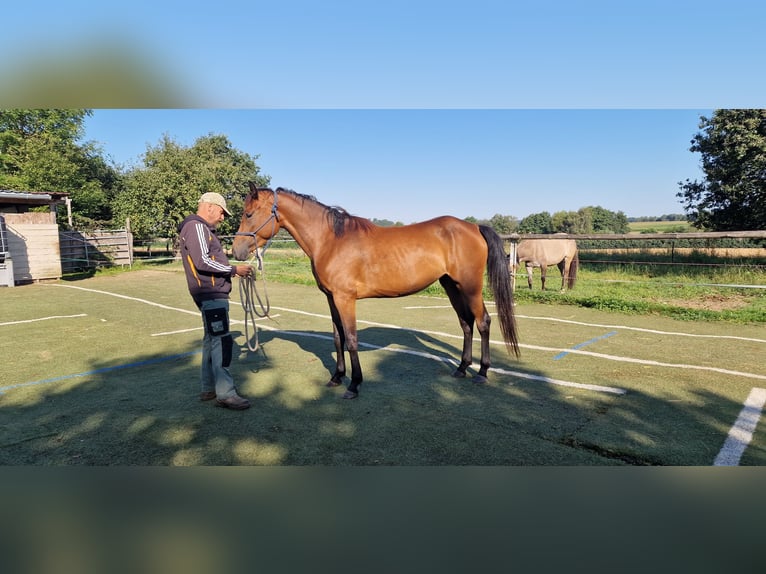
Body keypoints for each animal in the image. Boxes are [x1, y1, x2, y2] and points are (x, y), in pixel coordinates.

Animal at [232, 184, 520, 400]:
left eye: (249, 214)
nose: (236, 251)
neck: (330, 240)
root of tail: (474, 227)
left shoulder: (345, 299)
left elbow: (351, 339)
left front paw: (354, 384)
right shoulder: (331, 299)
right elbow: (337, 339)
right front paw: (337, 377)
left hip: (470, 287)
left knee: (483, 322)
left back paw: (482, 373)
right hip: (451, 286)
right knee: (466, 324)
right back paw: (461, 368)